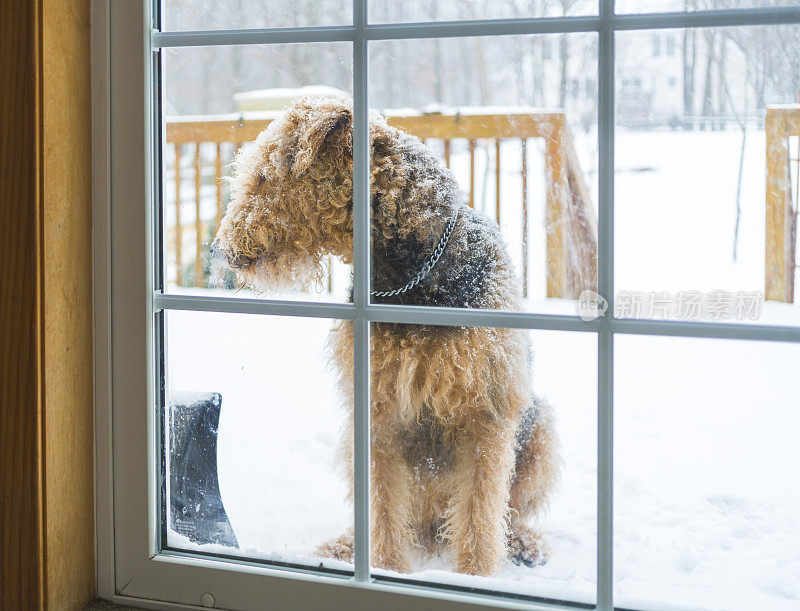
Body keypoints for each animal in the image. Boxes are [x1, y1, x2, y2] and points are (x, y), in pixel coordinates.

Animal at [214, 98, 564, 576]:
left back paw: (525, 543)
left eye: (265, 176)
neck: (408, 280)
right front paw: (386, 569)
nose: (220, 250)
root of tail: (433, 526)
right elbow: (383, 508)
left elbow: (479, 514)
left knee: (506, 512)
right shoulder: (378, 411)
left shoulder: (486, 414)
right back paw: (345, 544)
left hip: (539, 428)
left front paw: (475, 576)